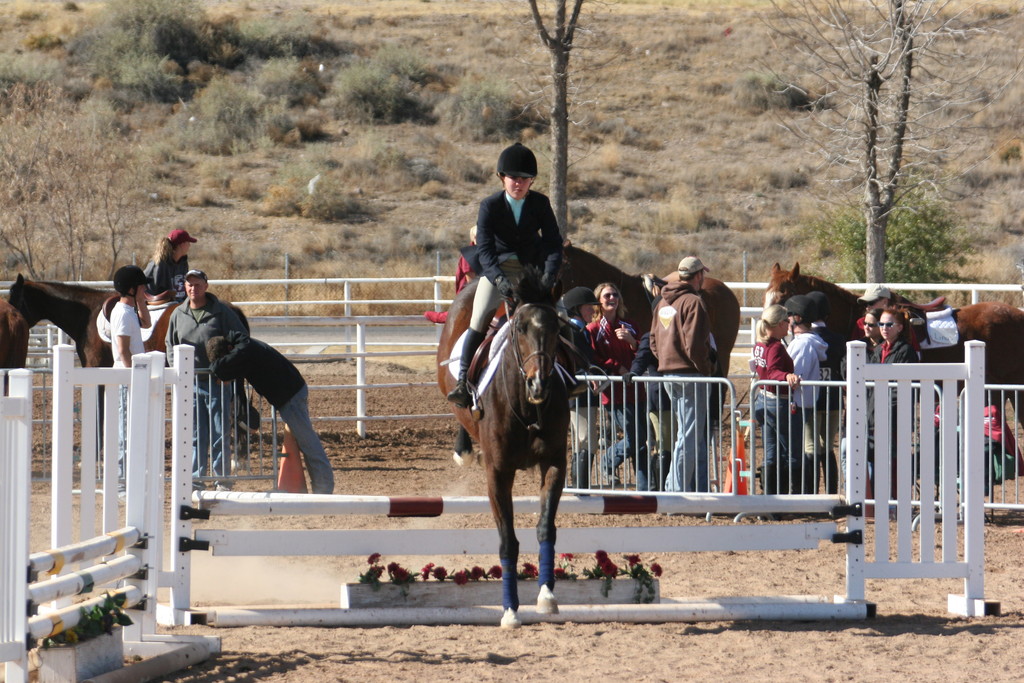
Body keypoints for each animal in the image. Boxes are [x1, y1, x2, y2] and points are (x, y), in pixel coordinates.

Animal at [436, 268, 573, 630]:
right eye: (520, 328)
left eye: (557, 328)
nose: (539, 384)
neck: (527, 406)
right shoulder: (498, 473)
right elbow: (508, 542)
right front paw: (510, 610)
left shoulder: (555, 463)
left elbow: (545, 527)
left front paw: (546, 596)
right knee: (457, 406)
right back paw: (463, 447)